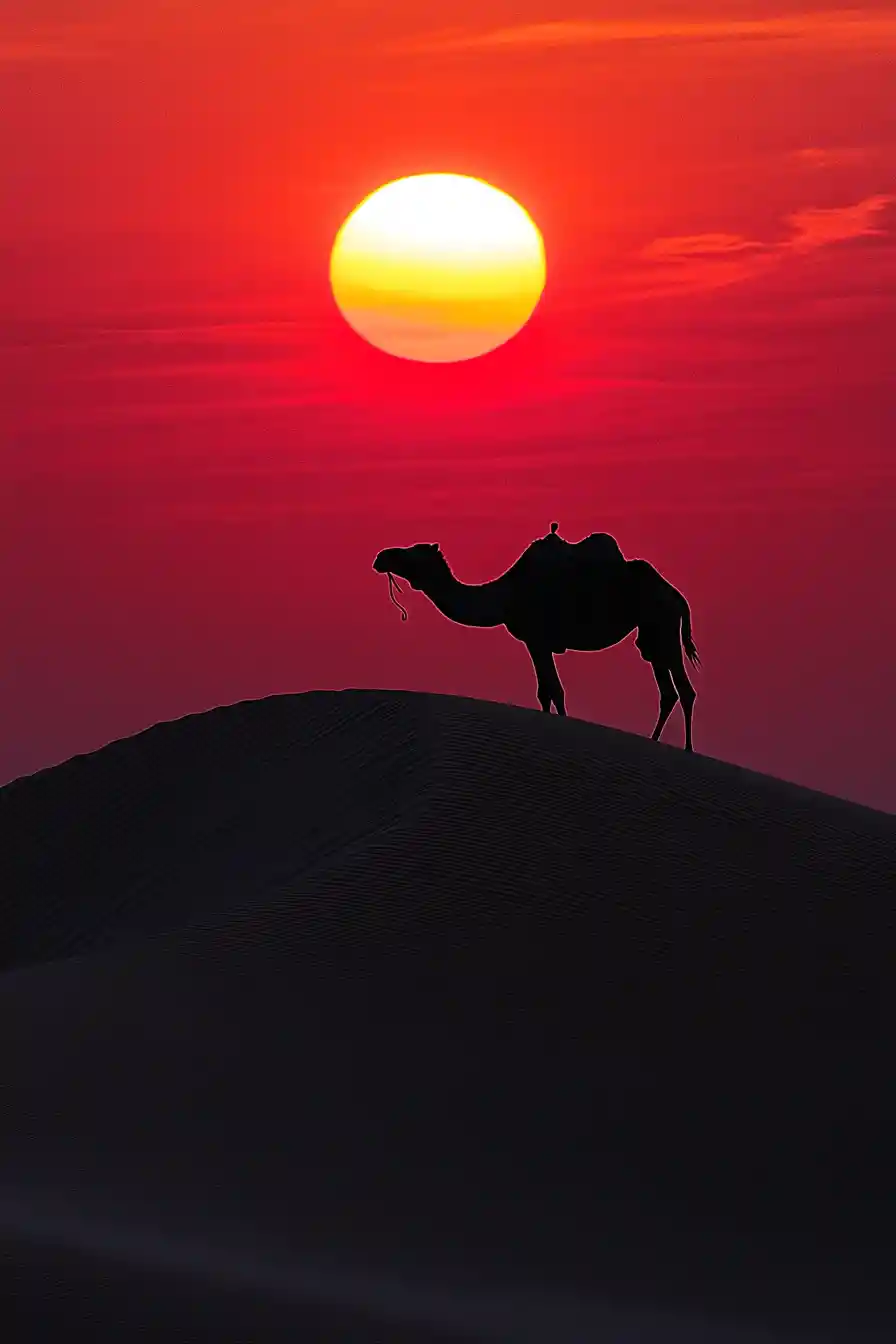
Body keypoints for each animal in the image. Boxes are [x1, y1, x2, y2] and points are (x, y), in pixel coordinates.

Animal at [373, 523, 702, 751]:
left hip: (663, 623)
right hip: (651, 634)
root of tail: (677, 595)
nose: (380, 556)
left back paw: (687, 750)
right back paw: (655, 741)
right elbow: (544, 693)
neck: (507, 594)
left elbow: (555, 690)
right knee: (667, 691)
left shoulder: (539, 639)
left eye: (412, 554)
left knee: (685, 690)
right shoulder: (533, 643)